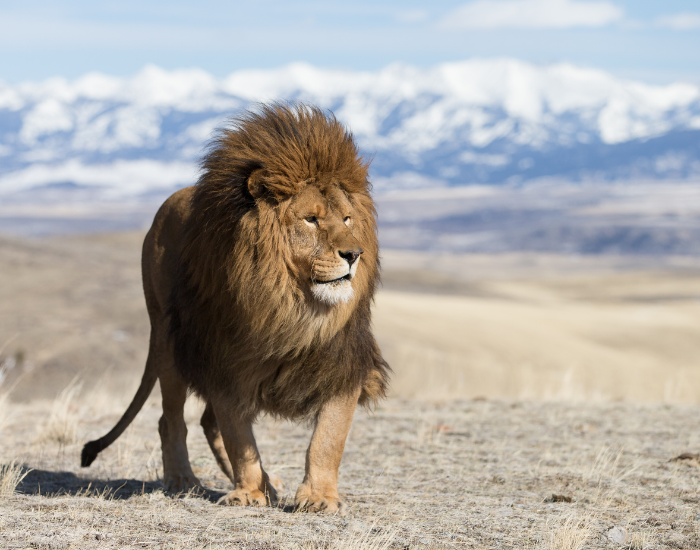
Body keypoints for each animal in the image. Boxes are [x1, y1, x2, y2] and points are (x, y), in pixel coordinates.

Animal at [80, 103, 390, 514]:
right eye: (310, 219)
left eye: (347, 219)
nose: (354, 254)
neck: (291, 307)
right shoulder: (223, 362)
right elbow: (239, 437)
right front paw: (248, 493)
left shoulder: (341, 363)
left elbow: (328, 437)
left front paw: (318, 497)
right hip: (167, 338)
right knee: (171, 420)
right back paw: (184, 480)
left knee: (206, 422)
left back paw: (268, 483)